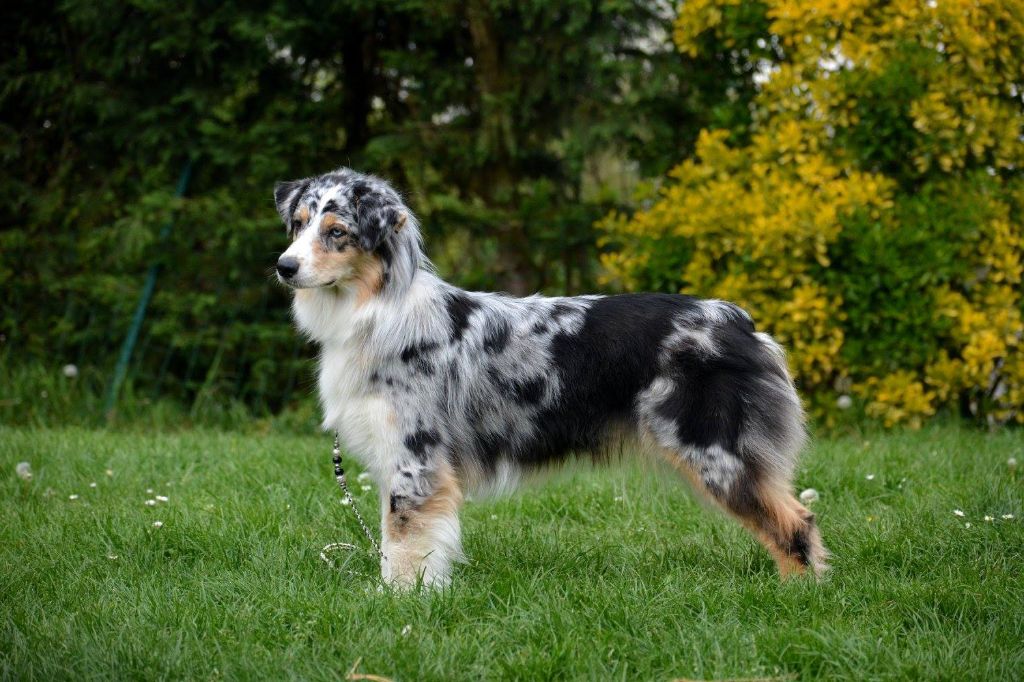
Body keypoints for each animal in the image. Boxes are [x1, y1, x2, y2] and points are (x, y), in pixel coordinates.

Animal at [273, 167, 828, 588]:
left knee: (795, 523)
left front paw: (400, 602)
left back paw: (797, 596)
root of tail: (740, 322)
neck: (376, 311)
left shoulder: (415, 457)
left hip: (714, 450)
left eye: (337, 232)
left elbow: (405, 544)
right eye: (297, 226)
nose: (284, 267)